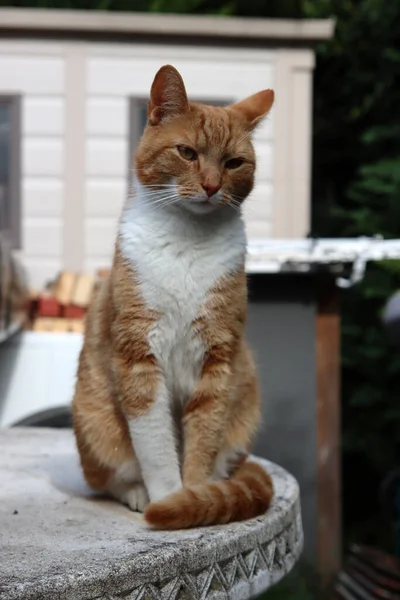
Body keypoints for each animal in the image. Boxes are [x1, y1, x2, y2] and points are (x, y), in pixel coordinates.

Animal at [72, 63, 276, 528]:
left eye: (234, 162)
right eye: (187, 152)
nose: (211, 185)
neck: (187, 241)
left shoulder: (219, 359)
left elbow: (203, 440)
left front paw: (194, 498)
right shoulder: (137, 356)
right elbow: (156, 447)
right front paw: (166, 498)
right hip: (94, 422)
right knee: (107, 478)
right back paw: (136, 493)